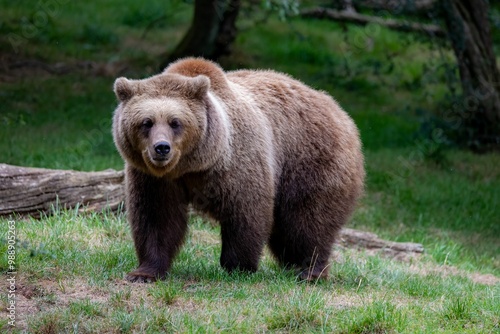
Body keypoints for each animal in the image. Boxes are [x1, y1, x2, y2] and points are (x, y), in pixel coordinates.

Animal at [112, 58, 364, 282]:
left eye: (176, 122)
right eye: (146, 122)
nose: (162, 148)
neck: (191, 166)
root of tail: (338, 110)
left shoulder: (236, 163)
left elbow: (245, 211)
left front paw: (238, 266)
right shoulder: (153, 178)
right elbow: (156, 217)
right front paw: (144, 272)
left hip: (309, 160)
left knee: (308, 220)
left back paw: (309, 271)